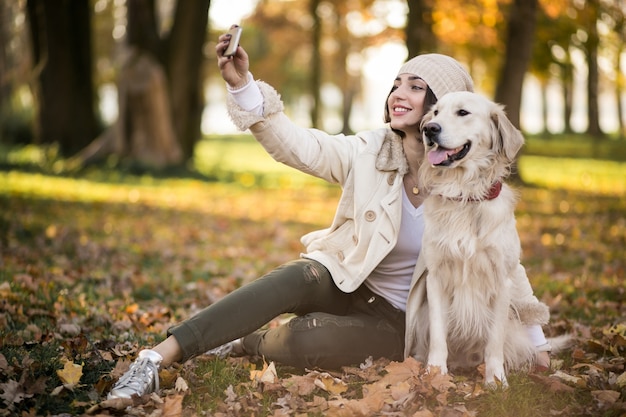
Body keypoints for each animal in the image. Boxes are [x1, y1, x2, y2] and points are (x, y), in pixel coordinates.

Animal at [416, 91, 544, 386]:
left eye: (463, 112)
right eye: (435, 112)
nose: (429, 129)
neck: (466, 196)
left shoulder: (502, 280)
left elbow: (494, 340)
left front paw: (495, 380)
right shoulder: (436, 277)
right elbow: (438, 334)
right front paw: (435, 373)